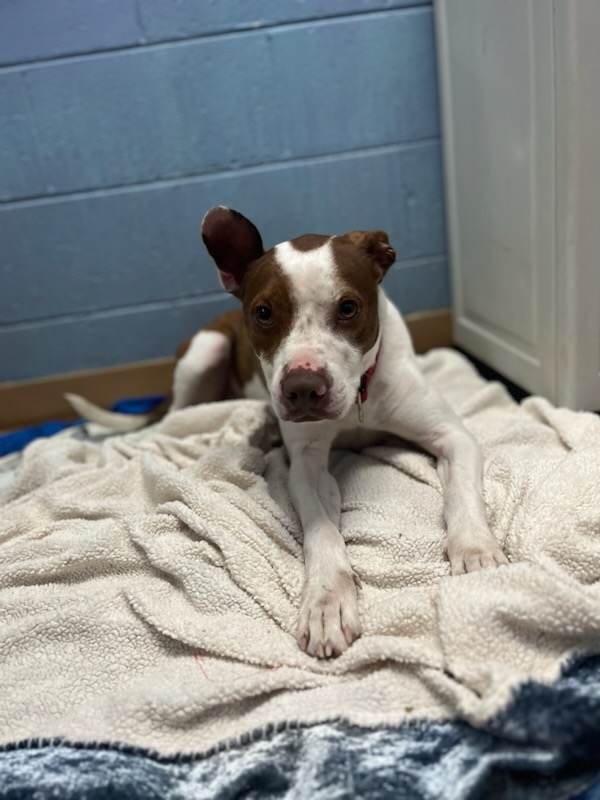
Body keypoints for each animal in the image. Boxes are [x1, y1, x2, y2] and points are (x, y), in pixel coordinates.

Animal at [68, 205, 508, 656]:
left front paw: (476, 550)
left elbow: (462, 494)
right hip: (205, 351)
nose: (303, 388)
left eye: (348, 307)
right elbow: (323, 532)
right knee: (175, 417)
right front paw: (327, 601)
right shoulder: (307, 466)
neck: (358, 400)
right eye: (263, 313)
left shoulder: (451, 436)